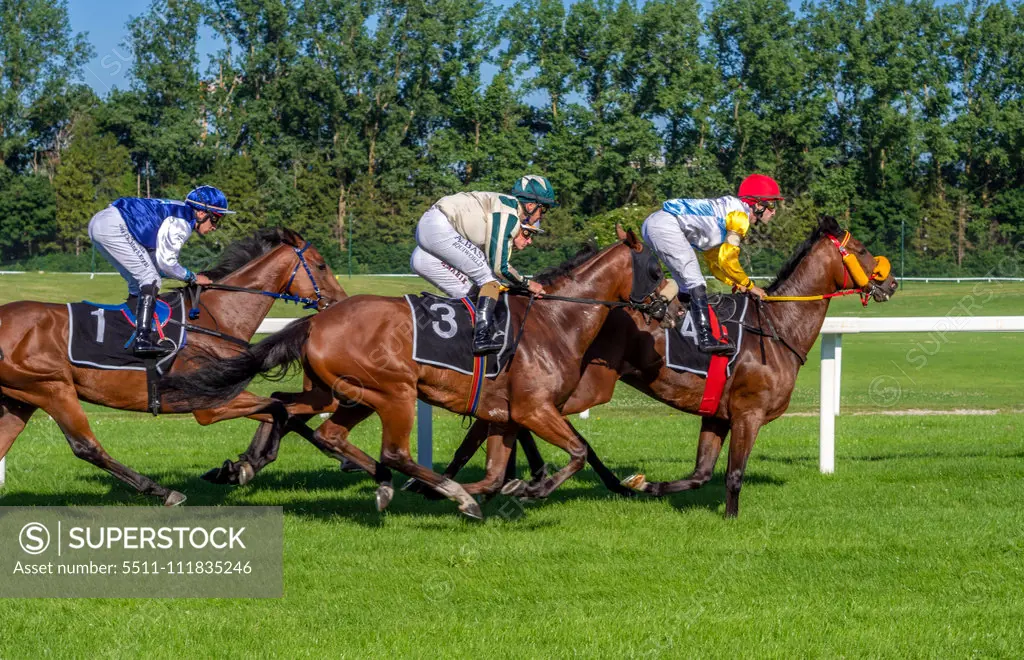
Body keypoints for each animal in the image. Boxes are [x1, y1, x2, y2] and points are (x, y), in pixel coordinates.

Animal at [0, 226, 346, 505]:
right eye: (321, 265)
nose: (341, 301)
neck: (213, 321)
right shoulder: (210, 404)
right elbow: (279, 409)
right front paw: (244, 466)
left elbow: (286, 413)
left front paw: (238, 467)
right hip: (51, 388)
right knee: (86, 447)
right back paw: (162, 491)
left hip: (19, 399)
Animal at [158, 231, 663, 519]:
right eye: (657, 269)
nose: (667, 308)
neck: (556, 321)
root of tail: (317, 321)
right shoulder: (534, 409)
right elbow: (576, 451)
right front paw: (531, 489)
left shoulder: (504, 417)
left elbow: (495, 474)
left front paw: (506, 486)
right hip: (393, 391)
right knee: (391, 450)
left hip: (344, 393)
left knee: (304, 417)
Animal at [409, 215, 897, 515]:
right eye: (864, 248)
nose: (890, 282)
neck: (776, 328)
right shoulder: (749, 413)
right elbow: (734, 474)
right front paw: (731, 519)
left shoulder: (717, 415)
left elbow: (700, 475)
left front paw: (647, 486)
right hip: (584, 385)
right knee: (509, 418)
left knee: (502, 417)